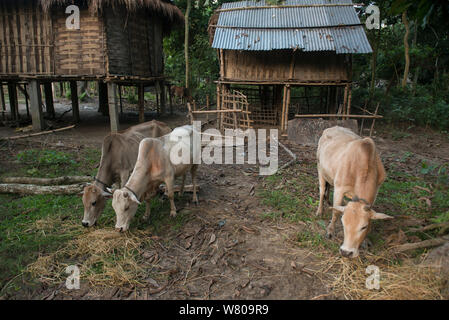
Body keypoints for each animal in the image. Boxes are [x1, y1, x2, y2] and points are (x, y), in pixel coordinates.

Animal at [314, 125, 390, 258]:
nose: (346, 252)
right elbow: (336, 212)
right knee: (322, 190)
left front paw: (365, 241)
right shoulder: (339, 189)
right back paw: (320, 211)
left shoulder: (376, 190)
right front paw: (330, 230)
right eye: (343, 223)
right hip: (320, 170)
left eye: (364, 227)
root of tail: (332, 127)